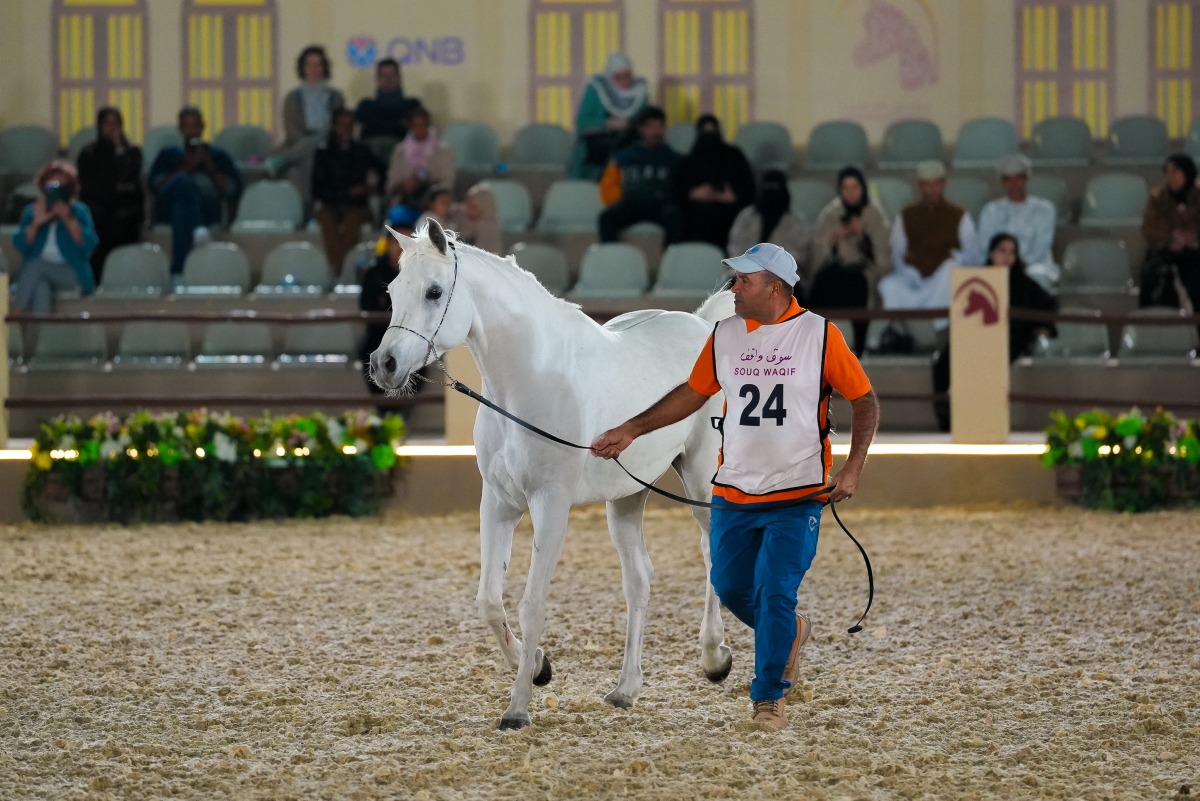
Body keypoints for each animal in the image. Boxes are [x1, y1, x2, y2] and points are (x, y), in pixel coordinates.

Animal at [369, 220, 734, 733]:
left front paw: (518, 707)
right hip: (627, 498)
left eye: (434, 291)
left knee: (711, 553)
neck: (528, 382)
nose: (384, 366)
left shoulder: (550, 505)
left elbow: (531, 603)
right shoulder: (498, 503)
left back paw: (714, 659)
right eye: (392, 290)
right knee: (639, 580)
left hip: (701, 478)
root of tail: (703, 325)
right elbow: (489, 601)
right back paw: (626, 688)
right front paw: (539, 667)